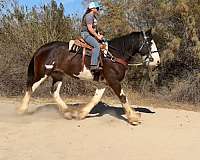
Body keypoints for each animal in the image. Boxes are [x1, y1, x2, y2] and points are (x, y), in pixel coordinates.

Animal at [17, 28, 160, 125]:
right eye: (150, 43)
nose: (157, 61)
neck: (113, 55)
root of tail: (41, 49)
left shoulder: (103, 83)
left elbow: (95, 99)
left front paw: (81, 113)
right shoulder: (113, 81)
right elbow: (123, 97)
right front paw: (133, 118)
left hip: (58, 75)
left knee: (54, 92)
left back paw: (68, 112)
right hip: (42, 74)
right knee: (30, 88)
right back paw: (21, 110)